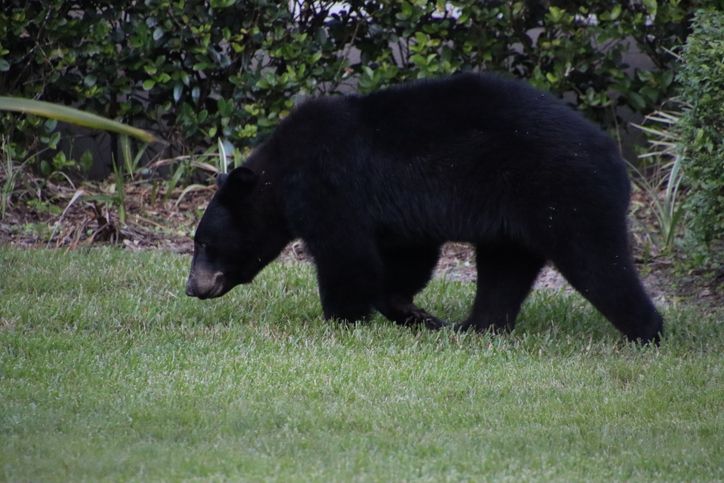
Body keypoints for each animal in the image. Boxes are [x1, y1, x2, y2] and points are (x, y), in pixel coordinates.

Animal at [185, 73, 663, 343]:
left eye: (204, 243)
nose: (192, 287)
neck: (281, 174)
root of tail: (615, 160)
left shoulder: (330, 188)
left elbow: (347, 255)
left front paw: (343, 319)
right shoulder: (400, 215)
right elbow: (408, 255)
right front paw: (414, 313)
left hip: (565, 194)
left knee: (597, 263)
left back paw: (646, 333)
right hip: (515, 217)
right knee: (504, 272)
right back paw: (475, 328)